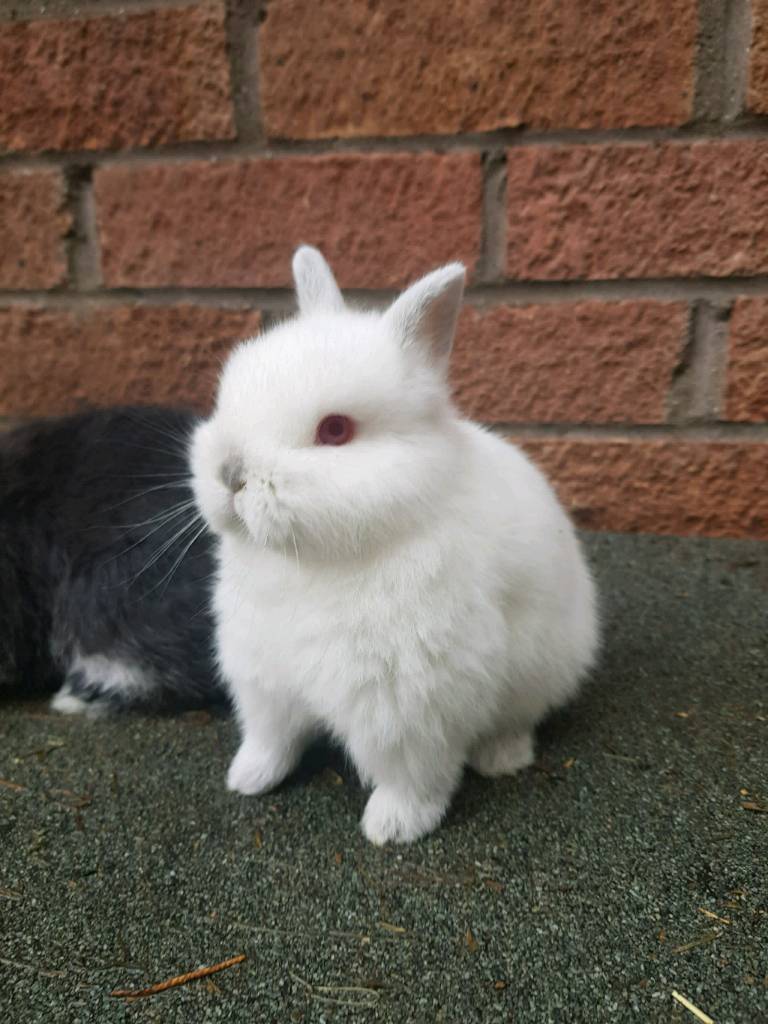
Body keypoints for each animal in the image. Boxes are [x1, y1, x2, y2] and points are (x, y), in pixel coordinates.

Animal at [191, 246, 599, 845]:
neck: (312, 561)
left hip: (543, 666)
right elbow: (272, 739)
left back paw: (501, 758)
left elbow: (415, 774)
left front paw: (393, 827)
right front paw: (248, 779)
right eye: (227, 398)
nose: (230, 474)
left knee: (519, 720)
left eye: (335, 430)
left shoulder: (411, 705)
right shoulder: (265, 680)